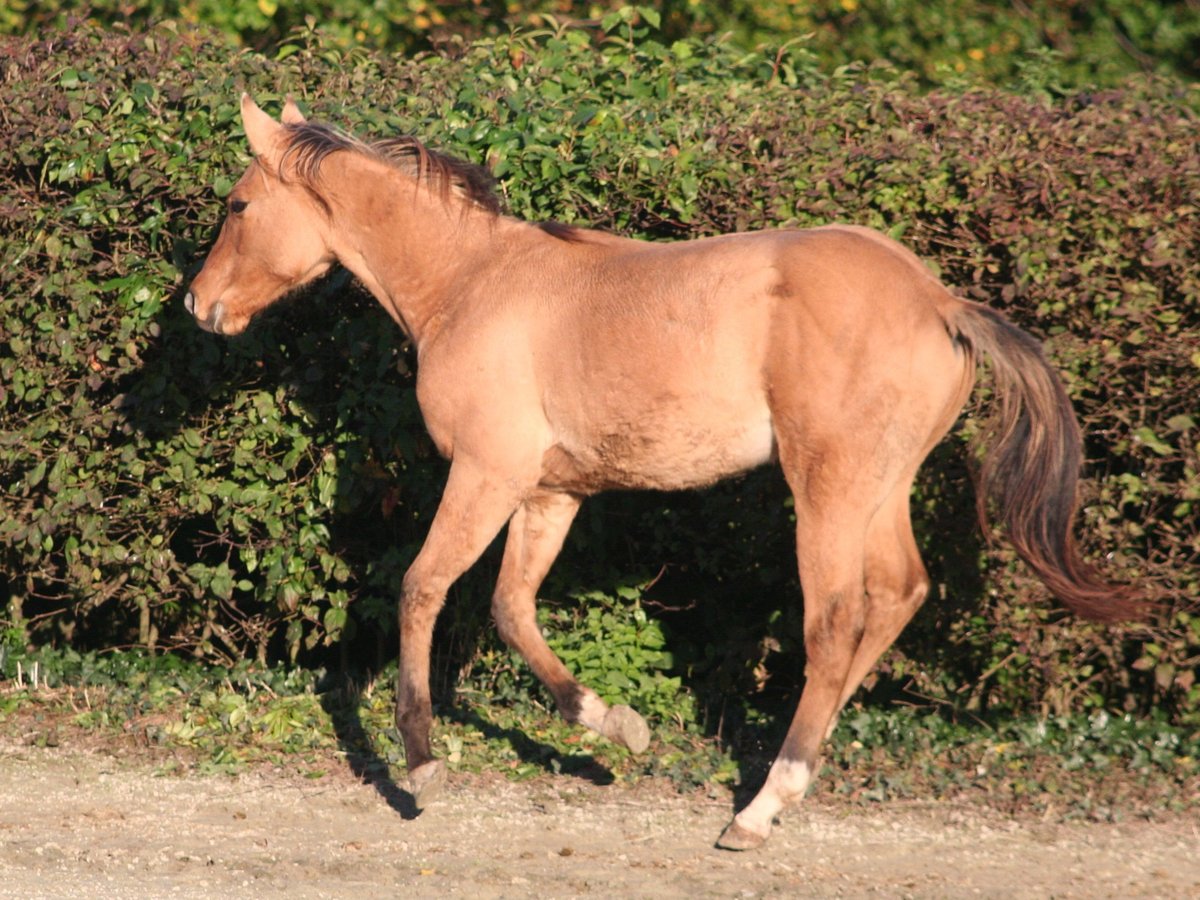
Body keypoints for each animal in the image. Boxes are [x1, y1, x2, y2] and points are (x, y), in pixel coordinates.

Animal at [182, 98, 1137, 854]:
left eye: (237, 204)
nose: (198, 305)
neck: (473, 284)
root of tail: (940, 301)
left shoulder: (486, 475)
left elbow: (423, 588)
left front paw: (420, 763)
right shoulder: (549, 494)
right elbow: (510, 608)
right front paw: (615, 727)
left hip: (827, 488)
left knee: (836, 620)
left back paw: (760, 807)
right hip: (880, 487)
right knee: (899, 595)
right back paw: (792, 779)